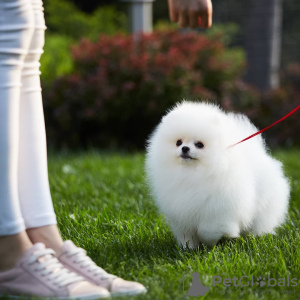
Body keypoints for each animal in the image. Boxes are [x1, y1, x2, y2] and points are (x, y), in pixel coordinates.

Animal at [145, 102, 290, 247]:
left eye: (199, 144)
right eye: (178, 142)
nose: (185, 148)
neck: (193, 174)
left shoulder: (218, 211)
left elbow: (208, 230)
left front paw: (211, 243)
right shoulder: (181, 213)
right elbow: (186, 234)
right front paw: (188, 247)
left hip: (264, 209)